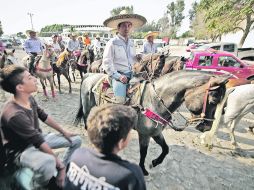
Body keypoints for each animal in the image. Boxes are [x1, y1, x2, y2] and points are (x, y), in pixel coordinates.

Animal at [74, 70, 229, 176]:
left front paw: (154, 163)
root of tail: (89, 75)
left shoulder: (156, 132)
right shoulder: (144, 134)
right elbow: (143, 152)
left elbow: (166, 149)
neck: (155, 101)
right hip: (88, 107)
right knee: (87, 123)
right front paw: (143, 169)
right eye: (214, 100)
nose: (207, 127)